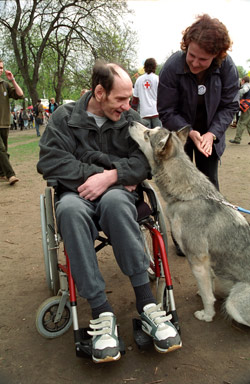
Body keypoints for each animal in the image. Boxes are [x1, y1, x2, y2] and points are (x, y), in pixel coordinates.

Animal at [129, 122, 250, 328]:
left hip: (234, 303)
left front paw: (207, 315)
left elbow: (208, 297)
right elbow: (207, 286)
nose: (129, 122)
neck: (186, 195)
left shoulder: (197, 260)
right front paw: (203, 293)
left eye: (147, 133)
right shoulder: (205, 263)